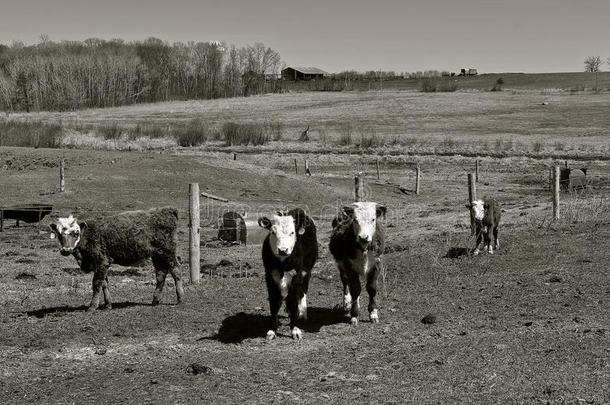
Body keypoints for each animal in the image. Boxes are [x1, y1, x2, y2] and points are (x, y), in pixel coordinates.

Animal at [49, 207, 183, 310]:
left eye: (76, 233)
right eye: (59, 234)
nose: (66, 250)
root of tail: (167, 210)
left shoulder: (102, 261)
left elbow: (96, 283)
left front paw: (92, 306)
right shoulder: (100, 265)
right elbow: (104, 284)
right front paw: (108, 304)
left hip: (168, 251)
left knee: (176, 270)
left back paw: (180, 298)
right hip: (157, 254)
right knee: (161, 274)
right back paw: (155, 300)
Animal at [256, 207, 318, 340]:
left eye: (292, 232)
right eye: (273, 232)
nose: (283, 250)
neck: (282, 264)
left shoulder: (297, 275)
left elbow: (293, 300)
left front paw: (295, 330)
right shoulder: (270, 276)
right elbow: (274, 302)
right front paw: (272, 331)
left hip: (307, 271)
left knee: (303, 291)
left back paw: (302, 313)